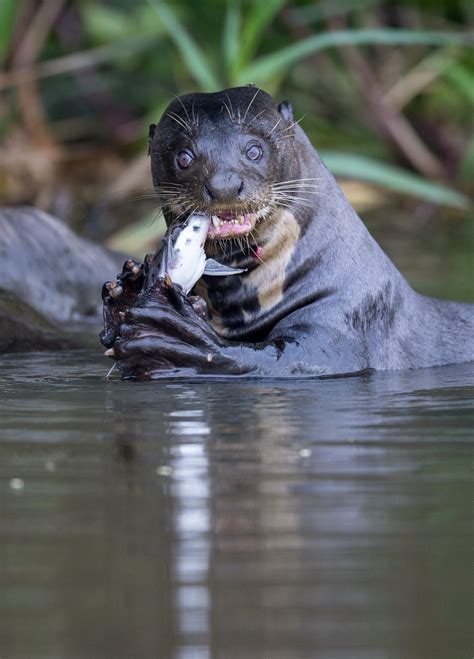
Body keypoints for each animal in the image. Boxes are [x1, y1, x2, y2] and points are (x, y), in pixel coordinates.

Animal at [101, 86, 474, 382]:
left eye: (254, 150)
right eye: (184, 157)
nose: (224, 185)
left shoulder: (343, 324)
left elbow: (274, 360)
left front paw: (172, 338)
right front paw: (127, 291)